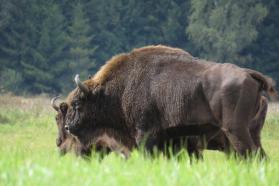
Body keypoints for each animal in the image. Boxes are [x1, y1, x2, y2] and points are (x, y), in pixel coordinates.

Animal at [59, 45, 276, 157]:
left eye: (77, 104)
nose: (69, 127)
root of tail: (248, 74)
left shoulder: (145, 135)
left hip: (236, 131)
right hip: (249, 134)